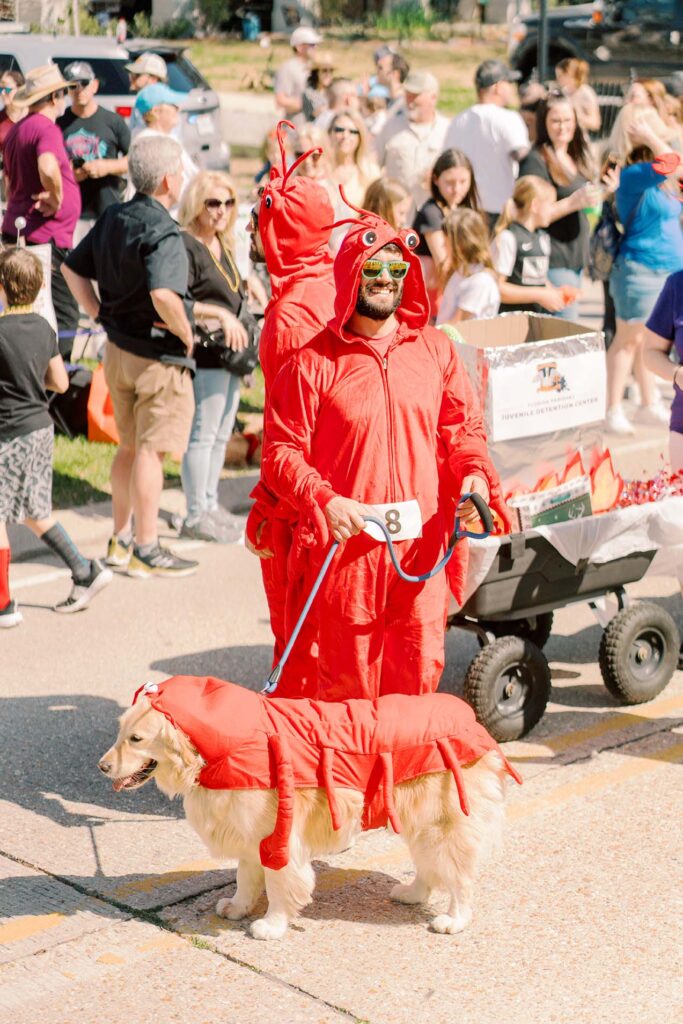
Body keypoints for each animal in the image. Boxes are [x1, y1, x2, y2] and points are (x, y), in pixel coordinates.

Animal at [98, 692, 509, 937]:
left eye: (136, 739)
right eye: (119, 732)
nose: (101, 767)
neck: (216, 754)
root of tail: (471, 718)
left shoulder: (279, 837)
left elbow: (280, 884)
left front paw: (271, 924)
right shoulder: (248, 835)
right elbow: (246, 878)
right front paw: (238, 907)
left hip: (444, 826)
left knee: (460, 878)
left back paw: (454, 919)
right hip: (420, 822)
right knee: (428, 866)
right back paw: (412, 894)